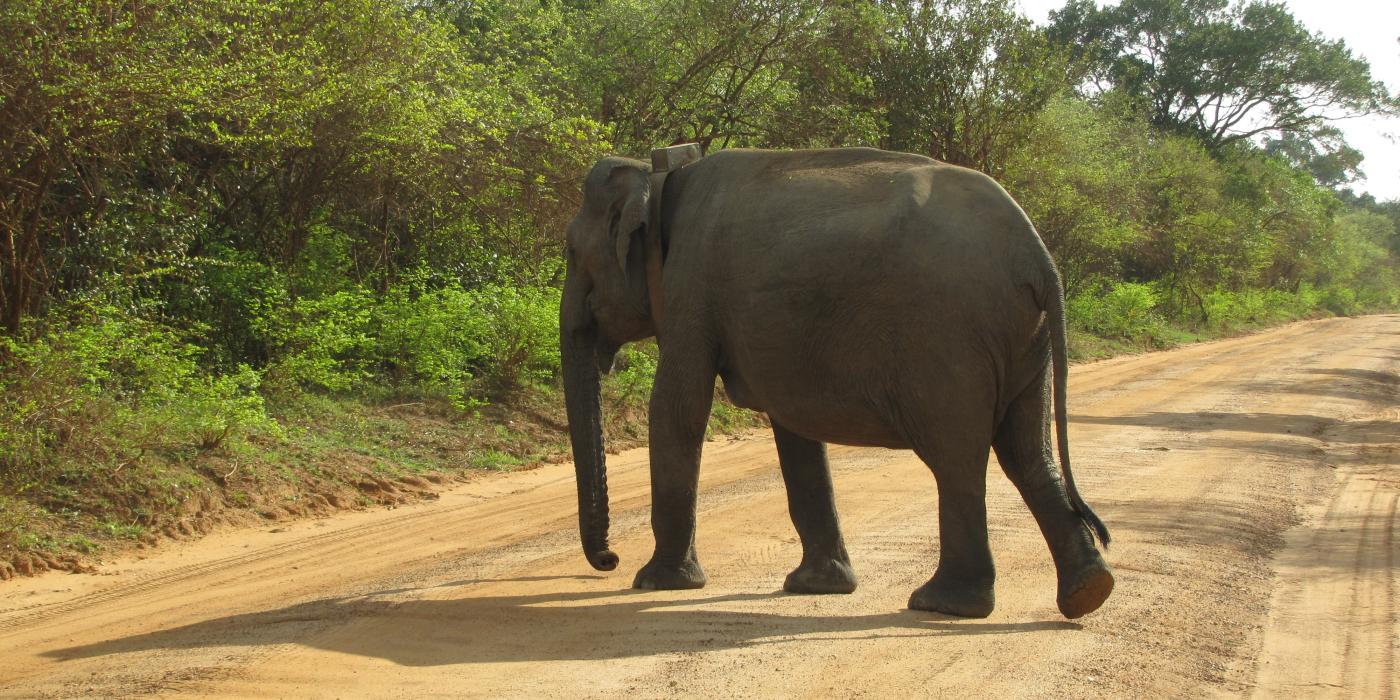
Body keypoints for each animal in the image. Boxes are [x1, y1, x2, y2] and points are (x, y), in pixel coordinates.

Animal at [557, 146, 1114, 618]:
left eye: (569, 253)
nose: (608, 560)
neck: (662, 173)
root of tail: (1036, 255)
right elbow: (793, 429)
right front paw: (817, 586)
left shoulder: (692, 285)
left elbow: (678, 409)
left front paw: (655, 583)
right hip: (1024, 338)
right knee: (1027, 452)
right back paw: (1087, 592)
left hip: (952, 337)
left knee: (957, 458)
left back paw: (942, 604)